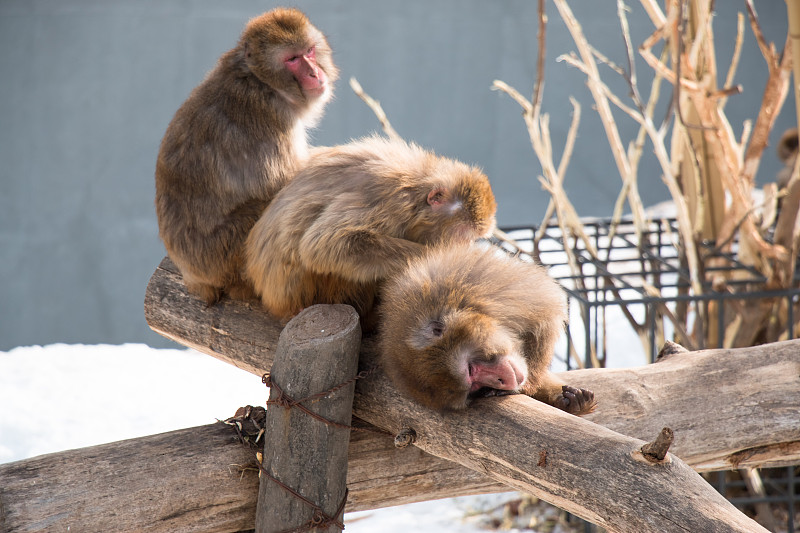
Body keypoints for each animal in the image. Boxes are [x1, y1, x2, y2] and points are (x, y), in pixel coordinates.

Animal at [155, 8, 338, 304]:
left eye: (309, 51)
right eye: (292, 59)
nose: (314, 73)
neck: (260, 81)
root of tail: (195, 278)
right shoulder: (272, 117)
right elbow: (285, 187)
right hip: (225, 254)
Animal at [244, 134, 496, 324]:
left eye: (472, 237)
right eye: (463, 235)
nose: (465, 244)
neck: (419, 184)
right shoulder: (393, 200)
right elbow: (324, 244)